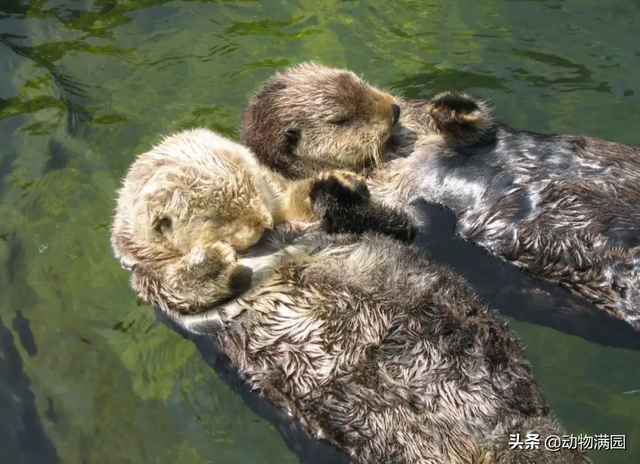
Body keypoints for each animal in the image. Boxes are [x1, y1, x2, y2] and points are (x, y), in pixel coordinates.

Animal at [109, 128, 592, 464]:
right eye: (218, 218)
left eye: (256, 189)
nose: (262, 225)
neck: (269, 245)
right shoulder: (160, 294)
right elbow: (181, 291)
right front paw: (213, 258)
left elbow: (398, 225)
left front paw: (333, 184)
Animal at [239, 62, 640, 330]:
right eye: (342, 120)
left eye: (359, 80)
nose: (393, 108)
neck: (396, 152)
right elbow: (405, 227)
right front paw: (335, 188)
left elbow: (478, 129)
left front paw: (450, 107)